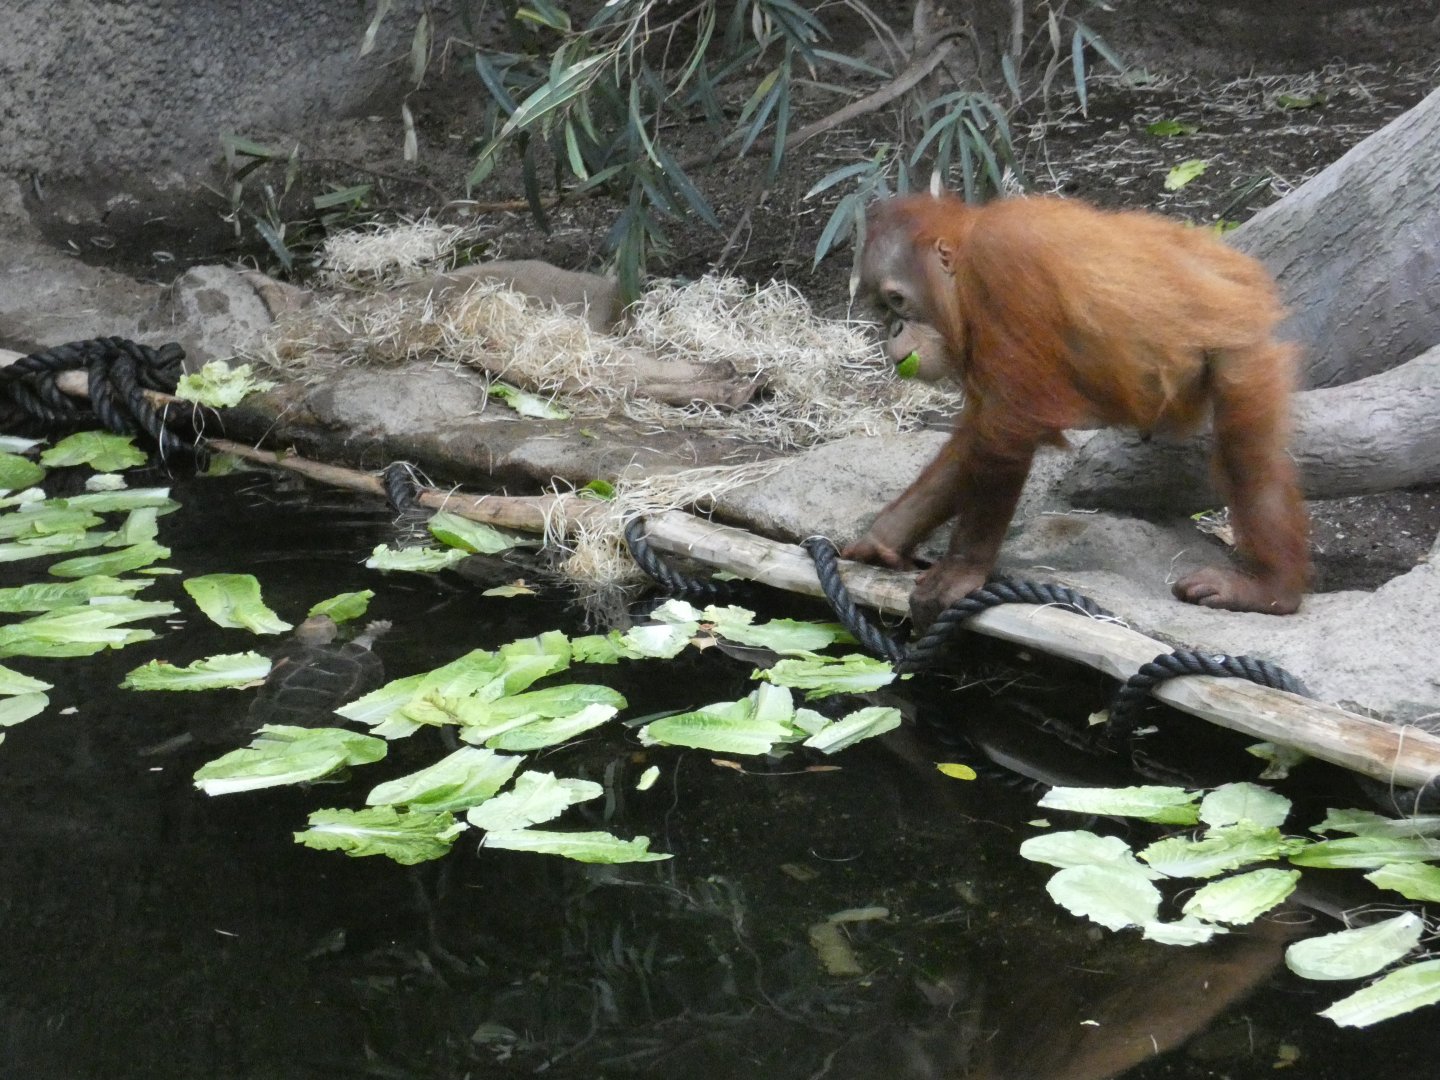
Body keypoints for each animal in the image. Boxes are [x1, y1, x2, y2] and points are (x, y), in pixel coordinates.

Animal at [842, 193, 1309, 628]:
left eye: (897, 300)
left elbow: (1007, 428)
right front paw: (885, 539)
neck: (965, 257)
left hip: (1243, 354)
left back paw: (1270, 591)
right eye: (882, 309)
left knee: (1248, 461)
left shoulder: (1002, 268)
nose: (894, 330)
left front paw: (960, 572)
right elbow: (977, 436)